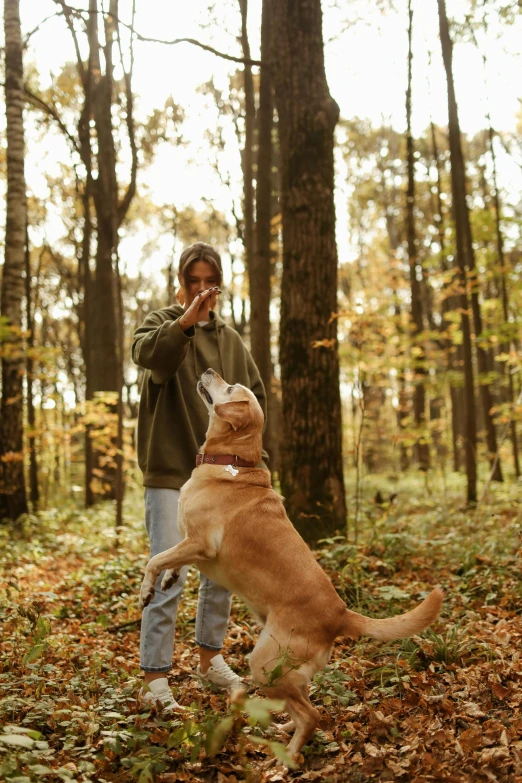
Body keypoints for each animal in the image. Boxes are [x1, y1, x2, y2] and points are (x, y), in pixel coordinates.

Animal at [139, 370, 442, 764]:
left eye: (230, 388)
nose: (207, 371)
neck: (232, 461)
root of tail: (341, 614)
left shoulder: (200, 543)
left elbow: (154, 559)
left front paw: (147, 588)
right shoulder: (190, 544)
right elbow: (171, 562)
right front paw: (169, 578)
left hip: (265, 663)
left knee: (312, 714)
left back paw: (284, 760)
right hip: (282, 673)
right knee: (304, 706)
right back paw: (283, 732)